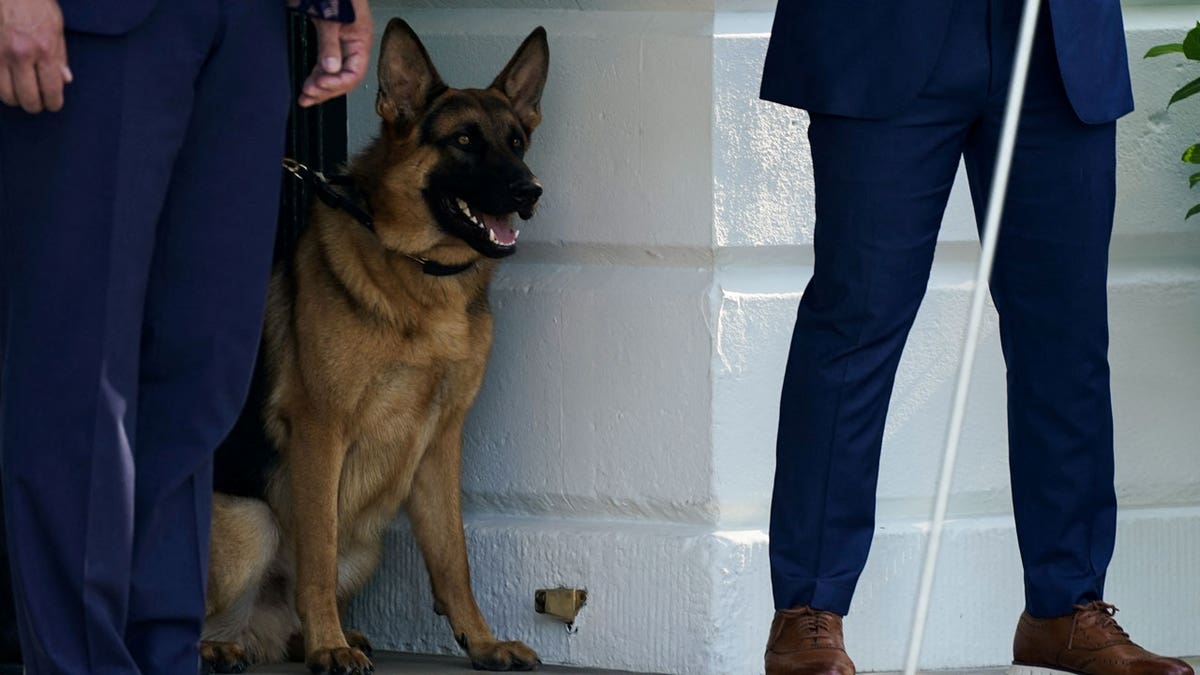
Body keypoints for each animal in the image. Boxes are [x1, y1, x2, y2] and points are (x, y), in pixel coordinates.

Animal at [200, 21, 549, 672]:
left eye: (517, 142)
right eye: (465, 140)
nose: (530, 190)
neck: (422, 276)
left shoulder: (442, 440)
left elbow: (454, 558)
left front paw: (481, 640)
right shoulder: (321, 430)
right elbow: (316, 550)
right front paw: (328, 645)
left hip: (365, 549)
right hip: (251, 521)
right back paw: (227, 646)